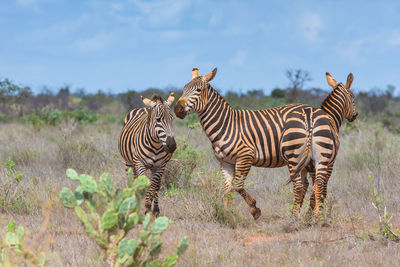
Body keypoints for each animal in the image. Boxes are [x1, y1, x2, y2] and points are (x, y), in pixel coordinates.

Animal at [173, 67, 358, 220]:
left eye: (198, 90)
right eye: (184, 88)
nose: (177, 109)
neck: (225, 124)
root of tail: (309, 115)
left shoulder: (245, 156)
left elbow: (237, 186)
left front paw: (255, 210)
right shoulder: (225, 161)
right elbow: (227, 188)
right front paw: (227, 214)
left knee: (306, 185)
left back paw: (300, 217)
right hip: (311, 160)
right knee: (311, 184)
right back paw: (309, 216)